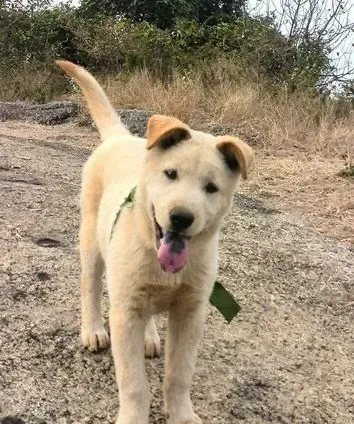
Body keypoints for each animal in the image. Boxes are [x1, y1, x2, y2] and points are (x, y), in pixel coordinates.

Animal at [56, 60, 254, 424]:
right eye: (171, 174)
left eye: (211, 188)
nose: (181, 217)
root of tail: (121, 137)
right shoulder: (125, 311)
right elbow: (133, 382)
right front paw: (134, 416)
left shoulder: (191, 313)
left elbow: (179, 375)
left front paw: (182, 414)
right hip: (91, 241)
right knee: (89, 284)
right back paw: (92, 329)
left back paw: (148, 336)